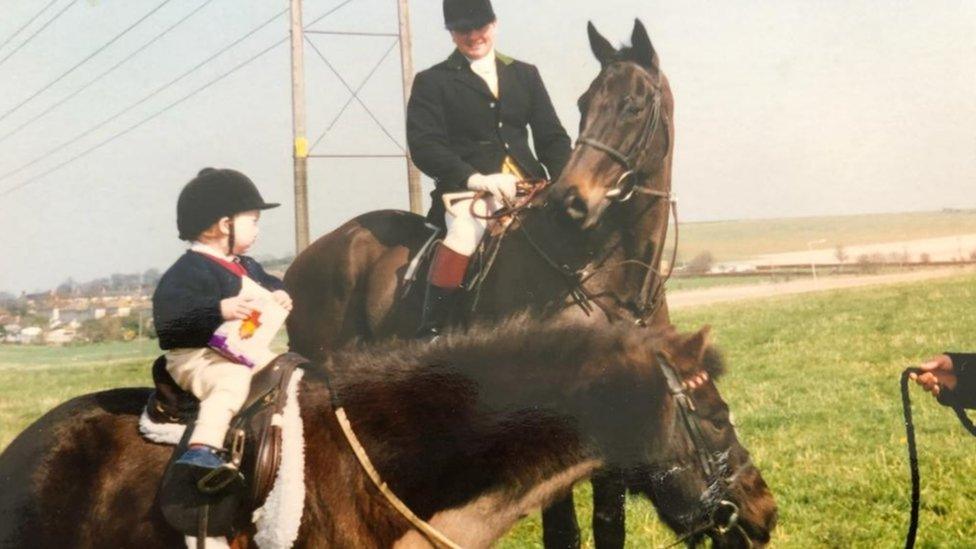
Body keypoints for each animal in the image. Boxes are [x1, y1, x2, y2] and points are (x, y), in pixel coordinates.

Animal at [282, 19, 680, 544]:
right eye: (584, 104)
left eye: (633, 106)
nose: (571, 201)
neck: (610, 275)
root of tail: (300, 262)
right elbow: (563, 530)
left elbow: (608, 523)